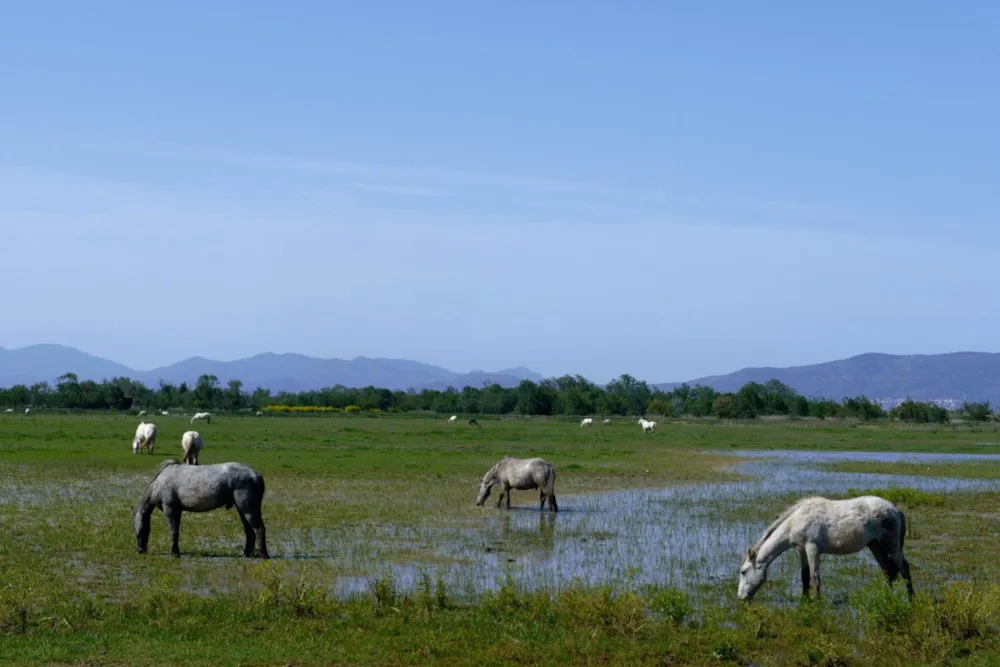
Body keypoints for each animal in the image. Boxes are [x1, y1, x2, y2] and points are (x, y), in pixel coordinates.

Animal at [132, 460, 270, 560]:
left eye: (138, 530)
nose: (140, 550)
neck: (159, 482)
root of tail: (256, 475)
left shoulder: (170, 509)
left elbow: (174, 531)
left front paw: (175, 553)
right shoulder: (177, 511)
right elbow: (176, 531)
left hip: (248, 509)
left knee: (259, 529)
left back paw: (263, 554)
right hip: (242, 510)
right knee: (249, 531)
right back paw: (247, 553)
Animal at [736, 496, 916, 600]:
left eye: (743, 572)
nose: (741, 597)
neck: (797, 520)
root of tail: (895, 509)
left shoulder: (812, 549)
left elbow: (815, 578)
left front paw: (817, 605)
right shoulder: (802, 550)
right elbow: (805, 577)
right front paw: (805, 602)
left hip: (892, 545)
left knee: (903, 568)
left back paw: (911, 599)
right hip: (875, 546)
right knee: (888, 570)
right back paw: (887, 598)